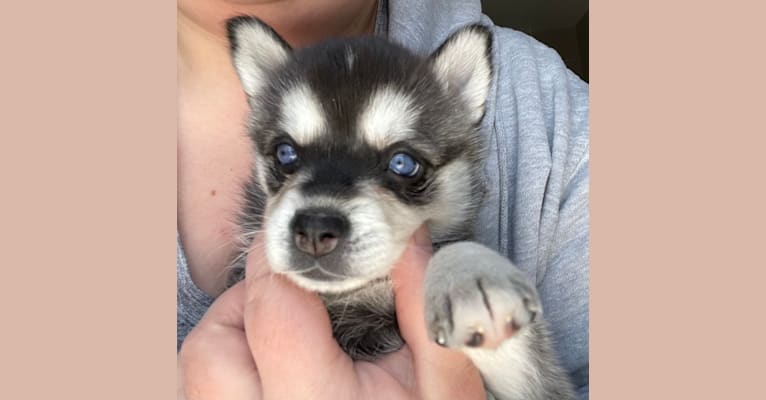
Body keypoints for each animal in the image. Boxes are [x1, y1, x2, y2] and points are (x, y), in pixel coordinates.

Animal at [222, 15, 576, 400]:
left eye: (403, 163)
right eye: (286, 153)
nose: (315, 229)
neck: (359, 296)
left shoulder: (536, 383)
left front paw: (474, 280)